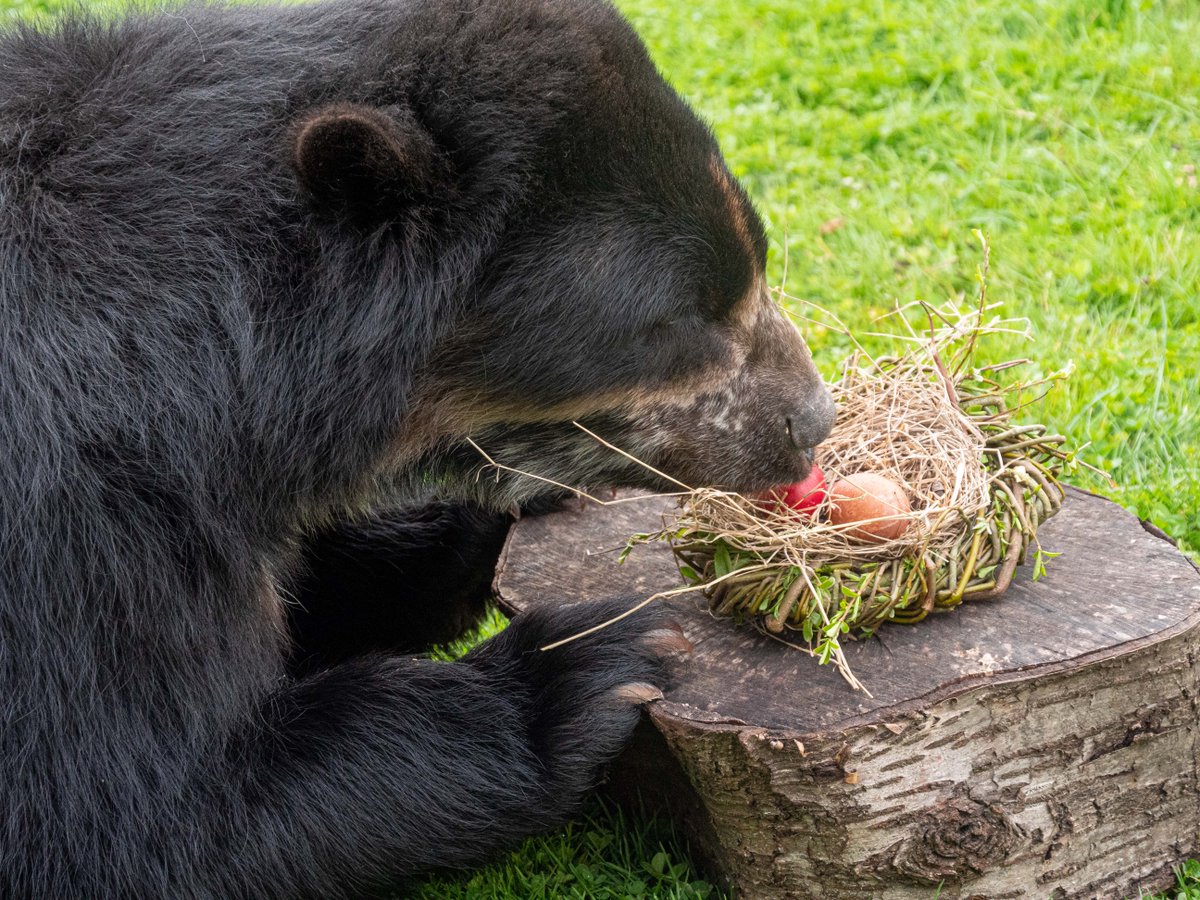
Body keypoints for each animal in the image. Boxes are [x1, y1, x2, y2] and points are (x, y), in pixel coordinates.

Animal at [0, 0, 835, 897]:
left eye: (752, 263)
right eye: (683, 317)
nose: (811, 420)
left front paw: (491, 521)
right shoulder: (71, 508)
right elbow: (128, 821)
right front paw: (589, 666)